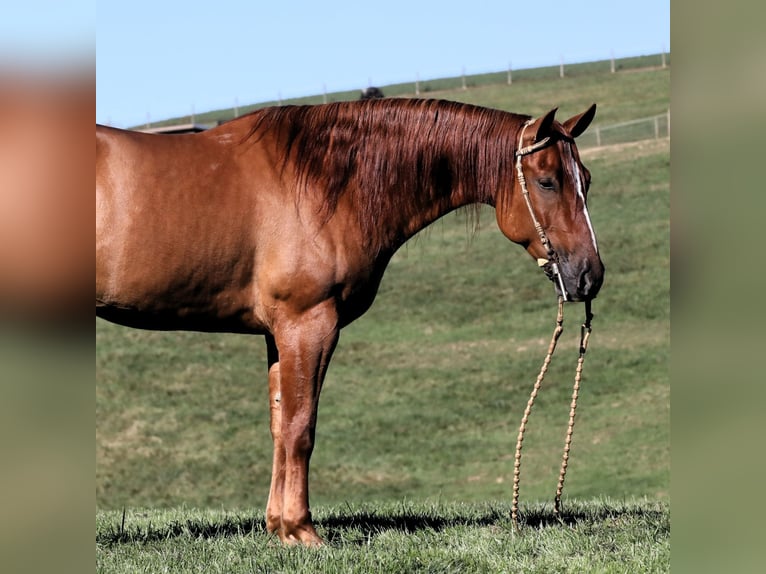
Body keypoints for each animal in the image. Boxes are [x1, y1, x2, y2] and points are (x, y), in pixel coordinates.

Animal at [96, 97, 608, 548]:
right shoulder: (309, 325)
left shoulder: (278, 336)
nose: (590, 275)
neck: (323, 183)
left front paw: (277, 527)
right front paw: (301, 530)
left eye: (585, 178)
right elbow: (301, 428)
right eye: (547, 181)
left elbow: (280, 427)